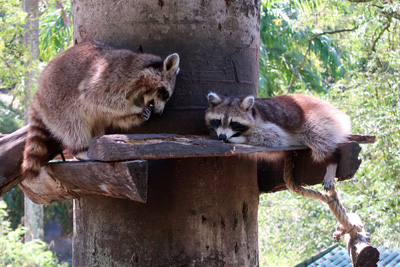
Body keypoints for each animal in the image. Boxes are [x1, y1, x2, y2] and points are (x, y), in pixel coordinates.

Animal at [21, 41, 179, 180]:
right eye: (165, 95)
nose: (159, 113)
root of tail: (38, 94)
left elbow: (113, 115)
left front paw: (138, 114)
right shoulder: (113, 77)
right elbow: (99, 98)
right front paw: (134, 108)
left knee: (96, 123)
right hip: (57, 101)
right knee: (73, 126)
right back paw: (82, 149)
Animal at [205, 93, 352, 192]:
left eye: (233, 123)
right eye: (218, 121)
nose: (222, 136)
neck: (253, 112)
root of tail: (331, 108)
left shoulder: (268, 125)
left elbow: (273, 138)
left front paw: (239, 138)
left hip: (318, 119)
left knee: (319, 138)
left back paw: (332, 161)